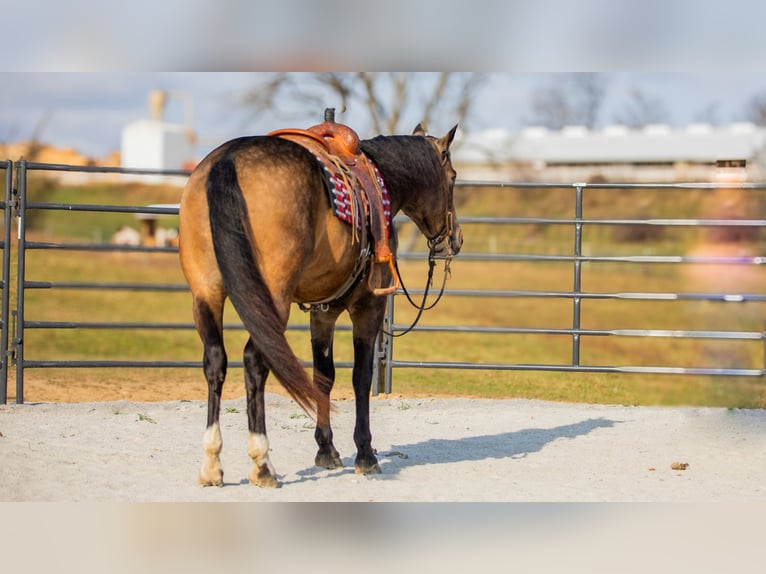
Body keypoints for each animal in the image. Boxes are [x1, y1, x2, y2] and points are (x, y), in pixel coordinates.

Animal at [180, 117, 462, 490]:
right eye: (453, 177)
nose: (456, 239)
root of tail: (227, 161)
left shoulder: (322, 311)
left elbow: (323, 376)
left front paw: (326, 450)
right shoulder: (367, 307)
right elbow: (360, 377)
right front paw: (365, 454)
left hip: (206, 292)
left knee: (215, 361)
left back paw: (212, 464)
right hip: (271, 297)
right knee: (255, 360)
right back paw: (262, 464)